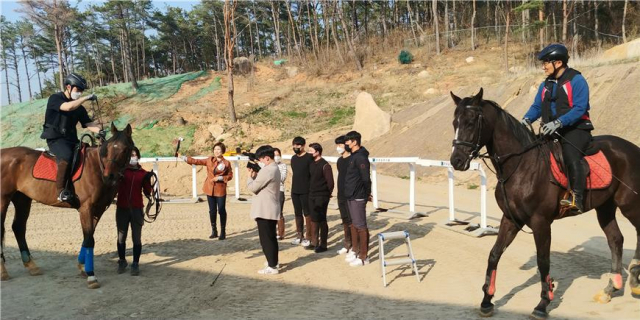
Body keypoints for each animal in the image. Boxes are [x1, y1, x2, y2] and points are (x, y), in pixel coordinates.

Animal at [0, 122, 132, 288]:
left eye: (125, 149)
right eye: (107, 148)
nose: (110, 176)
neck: (97, 167)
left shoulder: (99, 209)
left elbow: (88, 237)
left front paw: (82, 266)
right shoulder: (86, 208)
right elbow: (89, 239)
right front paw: (91, 275)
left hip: (22, 199)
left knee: (18, 228)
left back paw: (31, 265)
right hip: (3, 199)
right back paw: (3, 271)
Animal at [448, 89, 640, 318]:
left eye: (470, 122)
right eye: (454, 122)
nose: (456, 161)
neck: (521, 165)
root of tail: (633, 149)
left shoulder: (541, 222)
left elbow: (543, 261)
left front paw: (543, 303)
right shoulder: (510, 219)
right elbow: (494, 254)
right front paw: (487, 300)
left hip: (629, 204)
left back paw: (635, 279)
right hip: (606, 207)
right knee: (615, 240)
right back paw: (611, 288)